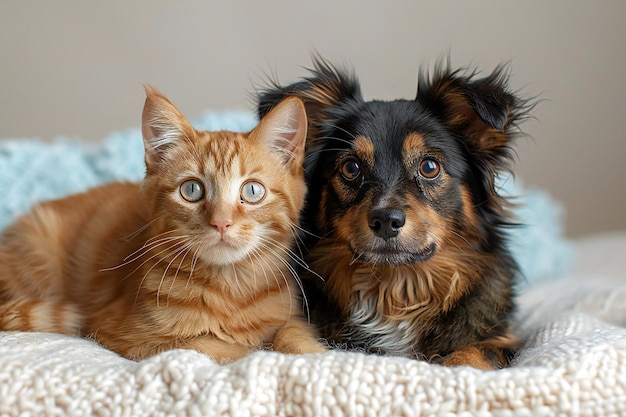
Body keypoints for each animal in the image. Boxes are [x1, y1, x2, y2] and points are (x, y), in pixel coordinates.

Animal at [0, 87, 324, 360]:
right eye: (192, 189)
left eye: (253, 191)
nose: (221, 223)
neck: (231, 289)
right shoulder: (123, 334)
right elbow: (212, 345)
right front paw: (249, 349)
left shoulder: (292, 315)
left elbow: (293, 332)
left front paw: (312, 353)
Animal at [256, 56, 528, 368]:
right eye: (351, 168)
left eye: (429, 167)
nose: (386, 220)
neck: (395, 289)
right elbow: (288, 339)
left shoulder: (505, 340)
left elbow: (475, 351)